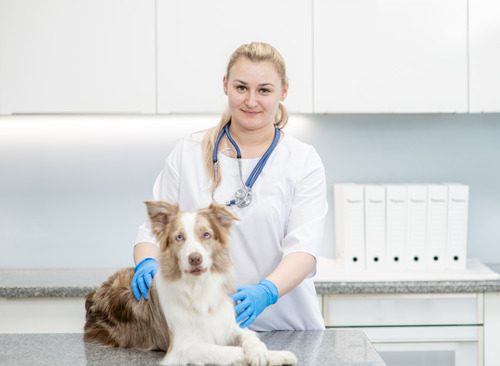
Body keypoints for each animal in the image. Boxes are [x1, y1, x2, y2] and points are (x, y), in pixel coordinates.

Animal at [84, 202, 296, 364]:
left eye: (206, 235)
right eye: (179, 237)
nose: (195, 258)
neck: (199, 286)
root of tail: (93, 295)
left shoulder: (228, 326)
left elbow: (250, 337)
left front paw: (268, 353)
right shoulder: (185, 347)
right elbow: (230, 351)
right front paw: (273, 356)